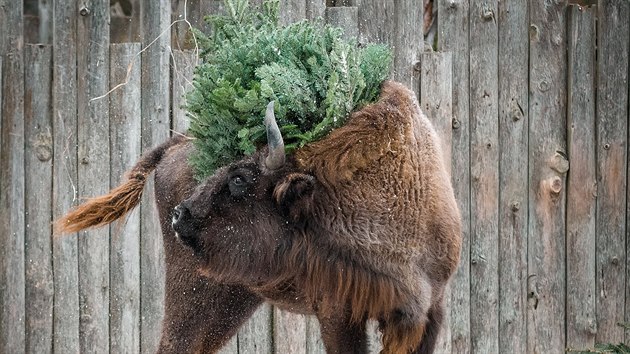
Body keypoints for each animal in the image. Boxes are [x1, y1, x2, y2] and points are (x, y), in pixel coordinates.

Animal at [56, 81, 462, 352]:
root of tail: (176, 144)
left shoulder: (431, 310)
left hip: (233, 300)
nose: (180, 215)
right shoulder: (338, 313)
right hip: (194, 292)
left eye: (239, 178)